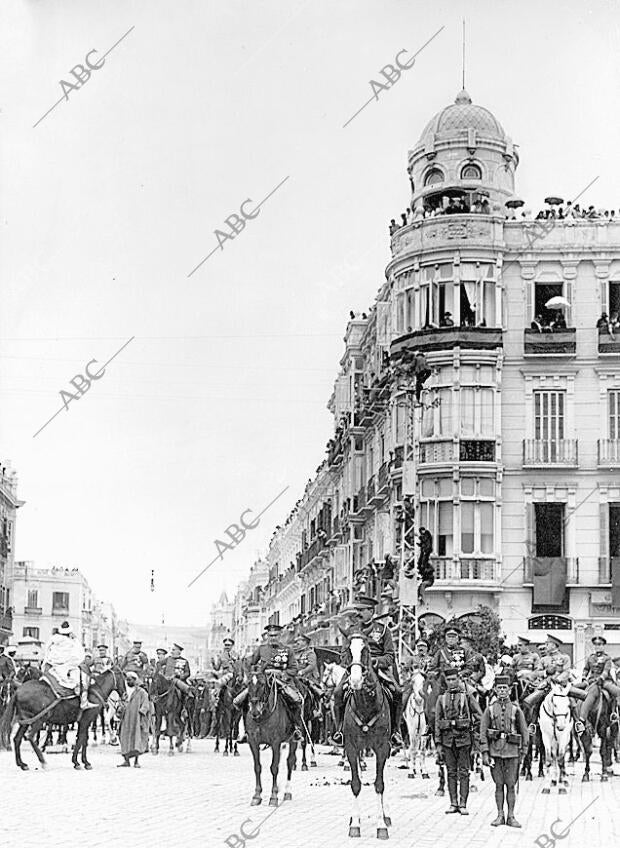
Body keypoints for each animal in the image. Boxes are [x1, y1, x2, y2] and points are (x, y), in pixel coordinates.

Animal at [245, 668, 298, 808]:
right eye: (247, 683)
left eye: (263, 684)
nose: (254, 710)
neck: (262, 716)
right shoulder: (253, 742)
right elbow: (257, 767)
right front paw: (257, 795)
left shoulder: (276, 743)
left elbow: (274, 768)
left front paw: (274, 797)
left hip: (293, 740)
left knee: (290, 761)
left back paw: (287, 792)